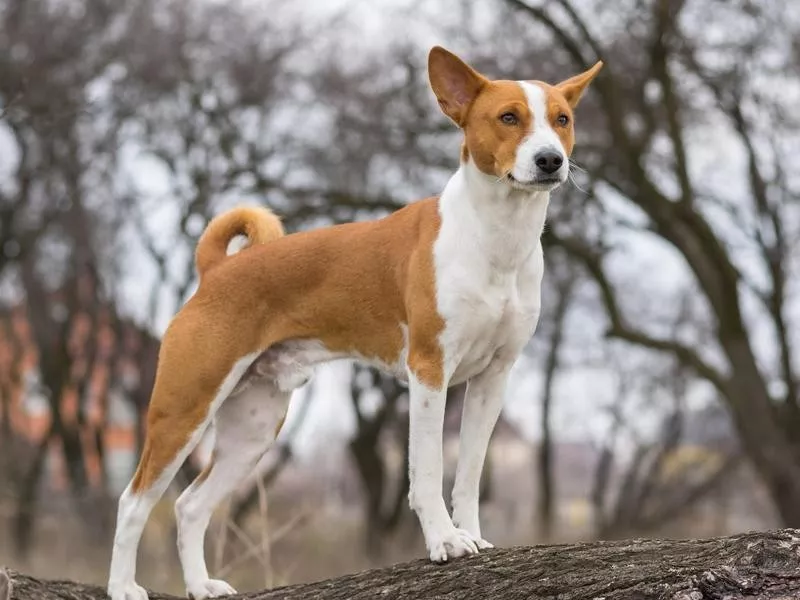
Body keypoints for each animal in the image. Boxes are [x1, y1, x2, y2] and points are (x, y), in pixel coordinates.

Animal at [109, 44, 604, 596]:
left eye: (562, 120)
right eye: (509, 118)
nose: (550, 160)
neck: (497, 238)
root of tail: (216, 269)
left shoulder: (494, 376)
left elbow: (470, 474)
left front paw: (473, 536)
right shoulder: (429, 369)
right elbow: (427, 470)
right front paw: (445, 541)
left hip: (253, 427)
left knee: (190, 505)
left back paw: (201, 586)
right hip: (184, 408)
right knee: (133, 503)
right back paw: (122, 587)